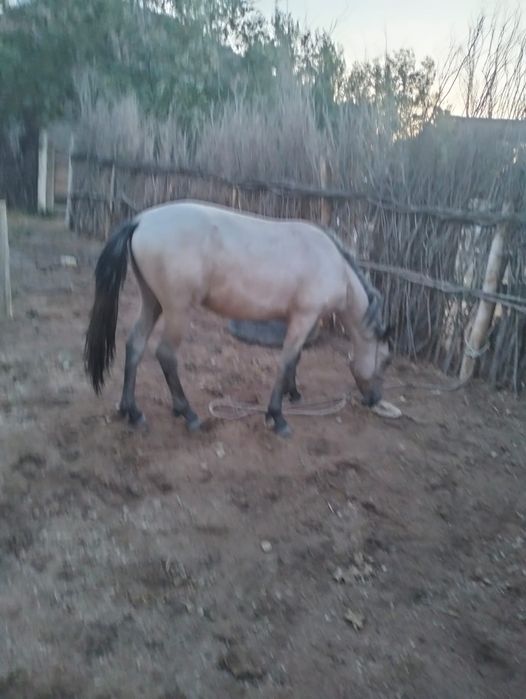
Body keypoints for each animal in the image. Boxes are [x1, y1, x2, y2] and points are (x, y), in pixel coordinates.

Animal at [84, 199, 392, 437]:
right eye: (387, 360)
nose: (375, 399)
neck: (333, 264)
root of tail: (141, 220)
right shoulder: (304, 317)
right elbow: (286, 361)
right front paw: (277, 416)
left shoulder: (303, 319)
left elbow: (296, 358)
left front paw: (293, 393)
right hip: (176, 310)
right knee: (166, 355)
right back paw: (188, 414)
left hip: (153, 303)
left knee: (135, 344)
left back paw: (132, 411)